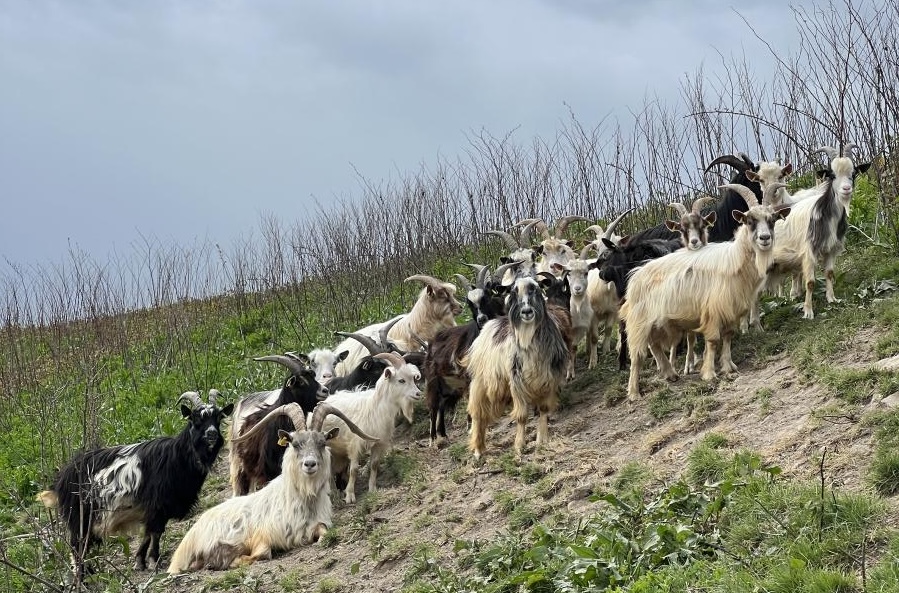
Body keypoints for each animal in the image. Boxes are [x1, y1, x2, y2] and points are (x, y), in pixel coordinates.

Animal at [38, 390, 233, 577]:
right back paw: (83, 576)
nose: (212, 434)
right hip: (79, 515)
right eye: (196, 418)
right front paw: (154, 560)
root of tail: (62, 478)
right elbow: (155, 532)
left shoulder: (154, 509)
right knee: (77, 545)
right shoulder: (157, 505)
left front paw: (140, 561)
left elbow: (147, 533)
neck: (177, 457)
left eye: (218, 417)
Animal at [167, 402, 377, 573]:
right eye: (295, 444)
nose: (310, 464)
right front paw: (237, 561)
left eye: (322, 442)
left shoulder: (317, 524)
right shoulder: (261, 536)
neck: (299, 498)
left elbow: (325, 534)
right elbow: (263, 553)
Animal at [323, 353, 423, 503]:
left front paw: (372, 490)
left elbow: (374, 465)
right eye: (401, 380)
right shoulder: (355, 444)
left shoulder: (379, 443)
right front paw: (350, 495)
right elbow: (354, 470)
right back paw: (334, 493)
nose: (418, 394)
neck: (375, 408)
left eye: (413, 378)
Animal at [463, 276, 573, 459]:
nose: (526, 311)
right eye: (514, 292)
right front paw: (519, 446)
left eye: (535, 289)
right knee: (478, 413)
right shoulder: (517, 383)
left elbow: (543, 409)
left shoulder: (548, 380)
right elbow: (521, 416)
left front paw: (542, 440)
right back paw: (478, 450)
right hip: (481, 381)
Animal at [621, 183, 790, 399]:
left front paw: (728, 366)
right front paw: (709, 374)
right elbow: (713, 340)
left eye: (772, 220)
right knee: (637, 355)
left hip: (657, 323)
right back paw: (634, 393)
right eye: (750, 220)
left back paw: (670, 374)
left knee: (655, 345)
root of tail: (635, 276)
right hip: (639, 322)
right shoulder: (713, 310)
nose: (765, 238)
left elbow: (728, 336)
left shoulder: (731, 309)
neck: (736, 259)